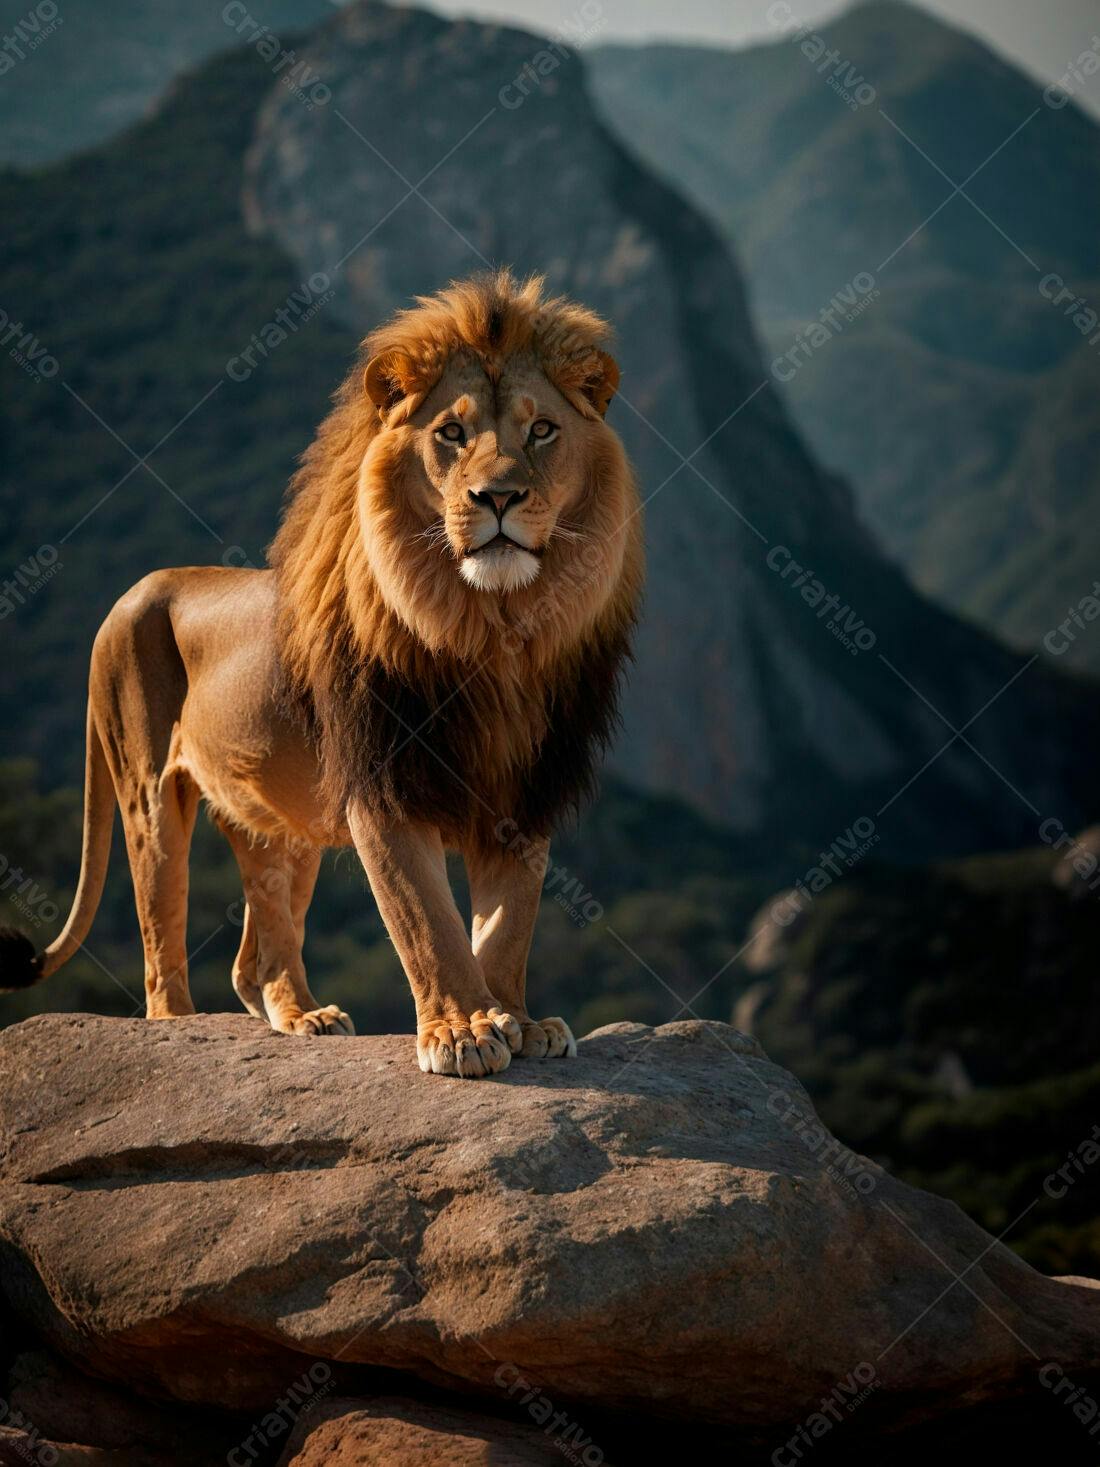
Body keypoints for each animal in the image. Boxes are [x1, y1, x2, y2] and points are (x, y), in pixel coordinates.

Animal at [0, 271, 643, 1077]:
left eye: (543, 431)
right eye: (451, 434)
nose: (497, 497)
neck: (489, 629)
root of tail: (129, 593)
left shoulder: (525, 791)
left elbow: (507, 925)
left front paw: (519, 1019)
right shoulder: (384, 780)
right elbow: (425, 919)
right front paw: (463, 1030)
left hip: (281, 820)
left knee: (256, 955)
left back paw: (305, 1016)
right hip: (149, 792)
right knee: (160, 944)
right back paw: (179, 1025)